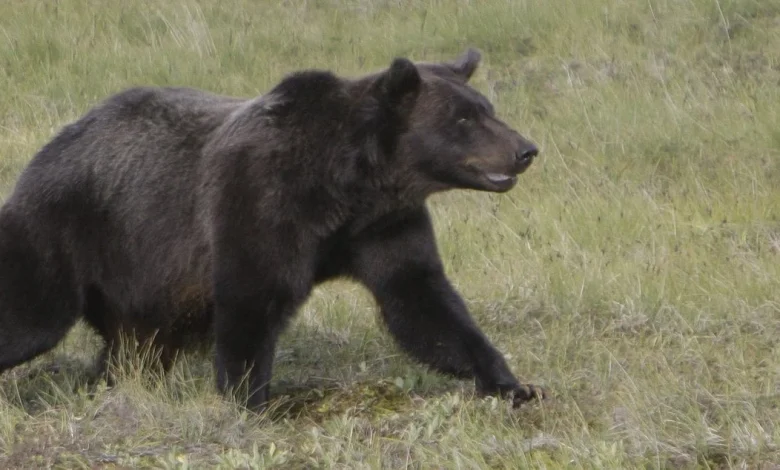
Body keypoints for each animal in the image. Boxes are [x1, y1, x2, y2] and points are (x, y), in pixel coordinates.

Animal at [0, 48, 545, 410]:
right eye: (464, 118)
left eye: (487, 108)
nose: (526, 149)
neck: (349, 185)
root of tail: (54, 143)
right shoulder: (260, 201)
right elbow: (252, 298)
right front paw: (251, 401)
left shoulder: (384, 226)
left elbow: (422, 301)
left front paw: (512, 383)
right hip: (67, 229)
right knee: (29, 313)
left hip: (143, 285)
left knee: (136, 349)